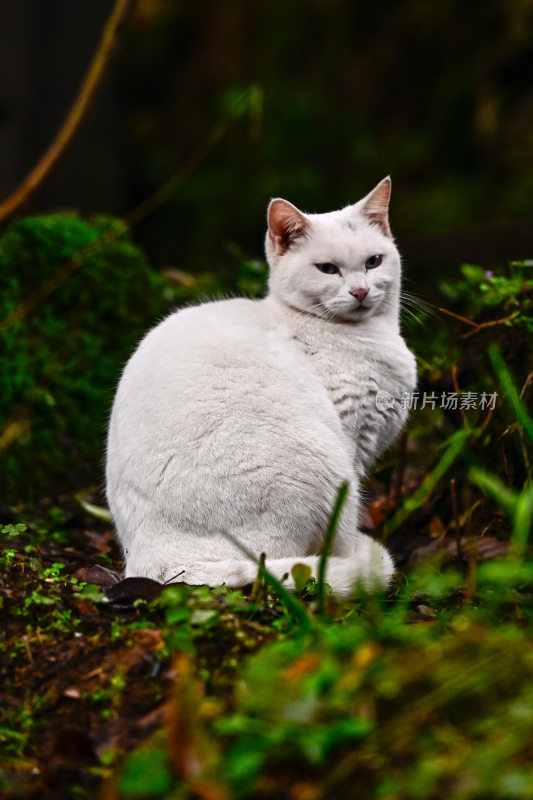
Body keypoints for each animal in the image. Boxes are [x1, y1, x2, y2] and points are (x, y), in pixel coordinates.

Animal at [107, 180, 416, 592]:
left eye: (373, 262)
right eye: (327, 269)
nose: (361, 291)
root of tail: (154, 559)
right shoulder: (351, 445)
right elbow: (346, 536)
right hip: (323, 463)